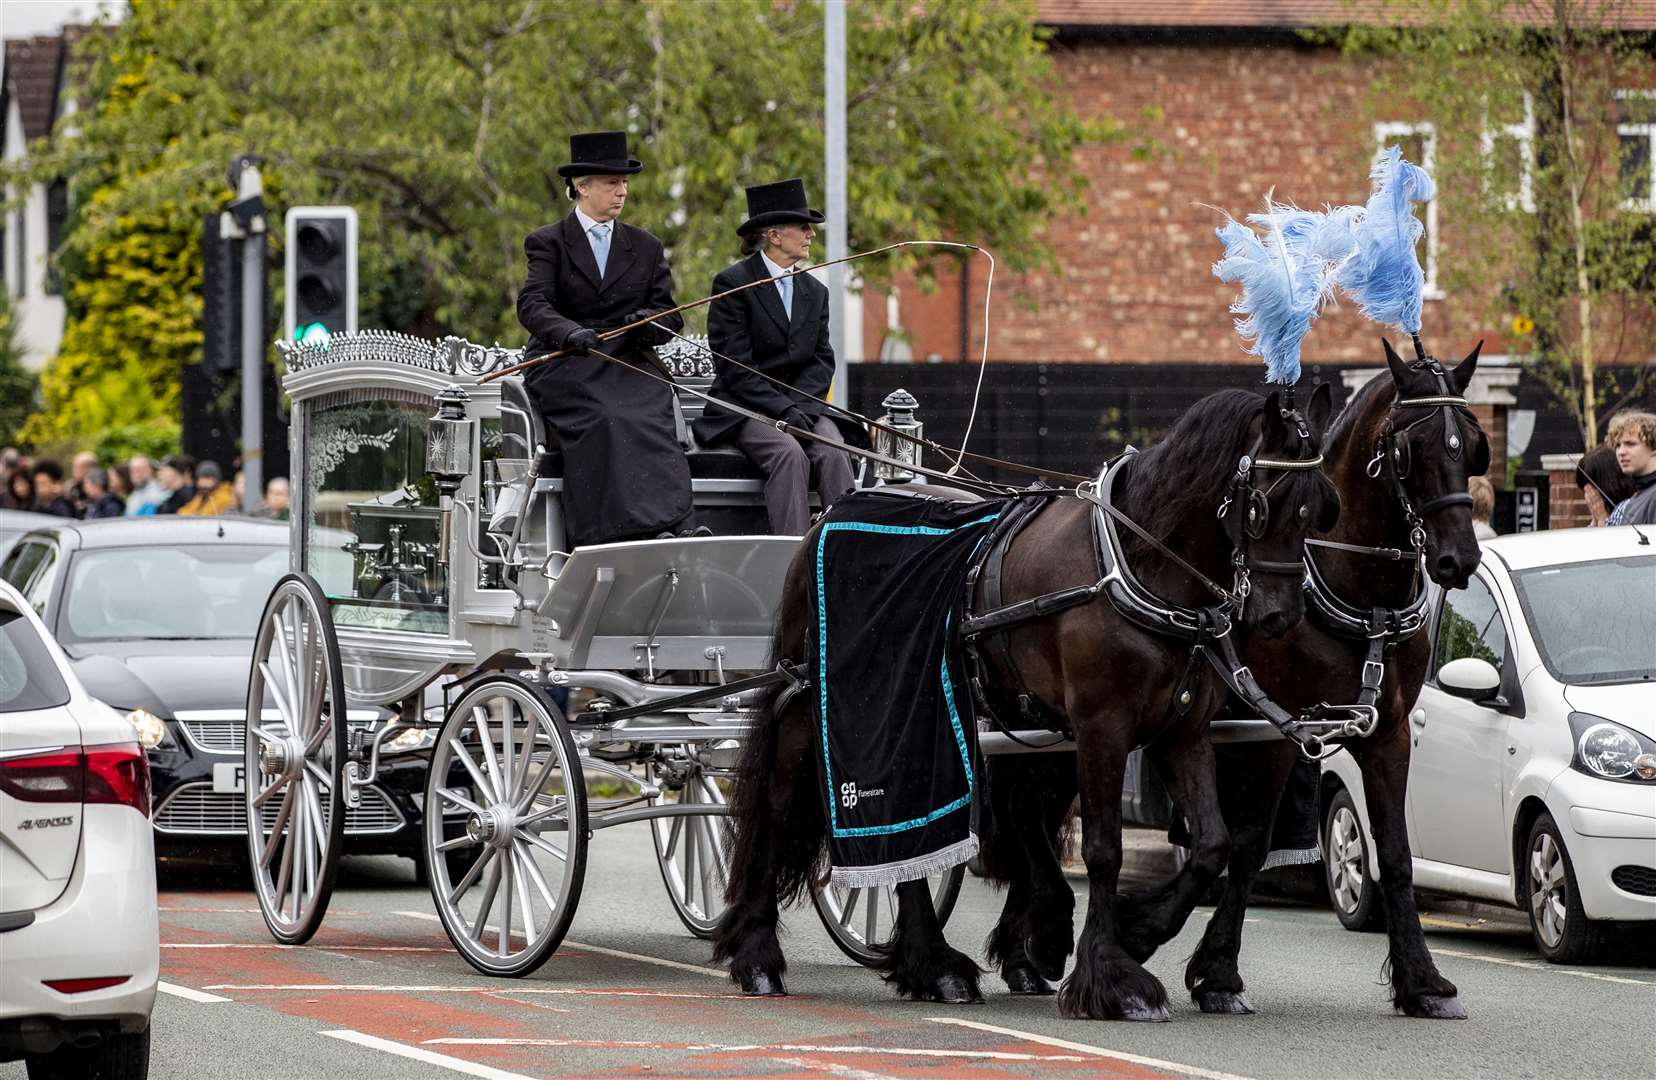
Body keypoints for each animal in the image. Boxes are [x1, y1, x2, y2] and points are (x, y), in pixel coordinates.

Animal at [718, 384, 1338, 1013]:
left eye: (1319, 510)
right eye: (1262, 504)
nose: (1279, 617)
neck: (1132, 565)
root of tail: (831, 512)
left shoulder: (1180, 732)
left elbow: (1213, 844)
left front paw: (1138, 932)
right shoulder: (1101, 727)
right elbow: (1105, 849)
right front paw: (1111, 977)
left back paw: (934, 966)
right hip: (813, 703)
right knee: (777, 804)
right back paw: (760, 955)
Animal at [980, 344, 1490, 1020]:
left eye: (1473, 446)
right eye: (1413, 447)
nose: (1459, 559)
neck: (1356, 594)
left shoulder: (1387, 734)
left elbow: (1396, 854)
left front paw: (1423, 981)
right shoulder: (1275, 731)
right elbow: (1246, 845)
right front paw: (1198, 963)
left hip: (1052, 725)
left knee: (1024, 808)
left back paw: (1029, 948)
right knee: (1023, 809)